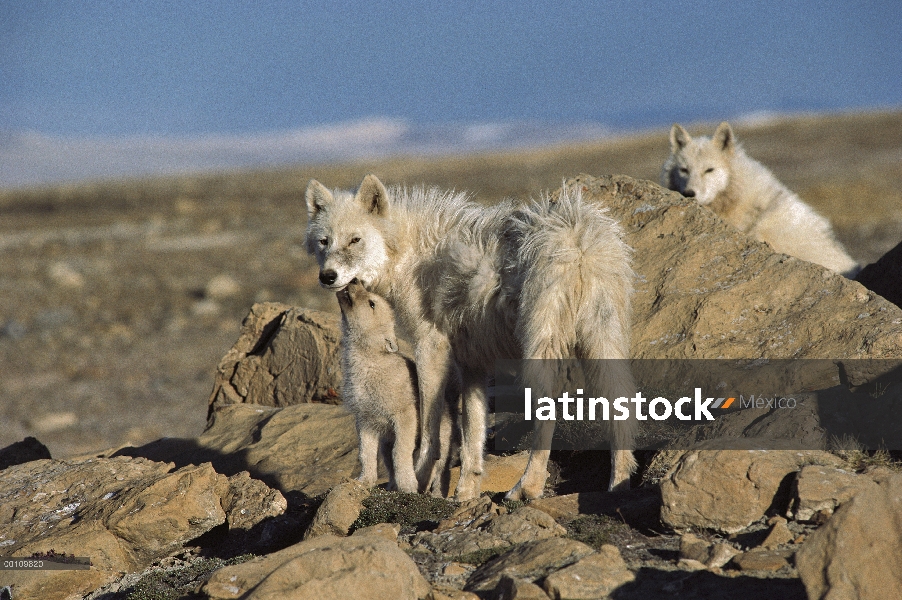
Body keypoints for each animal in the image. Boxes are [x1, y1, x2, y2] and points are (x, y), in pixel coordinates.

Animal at [304, 175, 636, 502]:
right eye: (324, 242)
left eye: (354, 240)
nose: (327, 277)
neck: (408, 253)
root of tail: (575, 237)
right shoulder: (474, 364)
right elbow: (472, 431)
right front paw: (465, 492)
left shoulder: (431, 347)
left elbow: (430, 430)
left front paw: (419, 481)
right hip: (603, 346)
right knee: (620, 406)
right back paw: (618, 485)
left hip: (541, 352)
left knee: (549, 412)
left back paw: (526, 487)